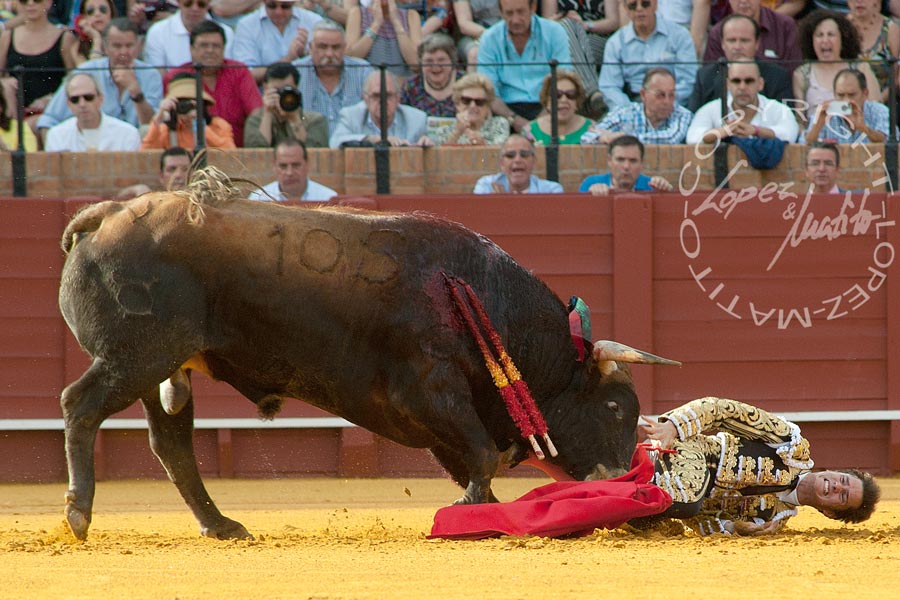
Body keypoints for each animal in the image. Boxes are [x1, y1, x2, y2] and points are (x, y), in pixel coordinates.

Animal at [58, 175, 676, 544]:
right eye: (617, 409)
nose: (623, 477)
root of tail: (106, 214)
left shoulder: (436, 412)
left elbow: (470, 458)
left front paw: (483, 511)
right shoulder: (432, 389)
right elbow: (480, 454)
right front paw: (472, 508)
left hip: (160, 367)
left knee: (171, 444)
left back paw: (222, 525)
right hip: (136, 357)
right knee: (79, 405)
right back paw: (79, 515)